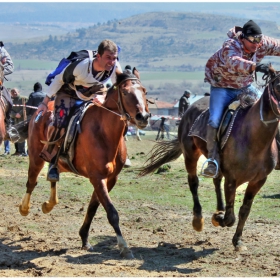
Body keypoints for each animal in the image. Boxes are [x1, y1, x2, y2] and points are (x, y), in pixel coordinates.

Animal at [19, 70, 151, 258]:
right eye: (125, 92)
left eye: (144, 91)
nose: (143, 117)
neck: (104, 131)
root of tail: (38, 113)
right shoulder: (97, 177)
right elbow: (111, 212)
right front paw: (124, 246)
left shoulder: (109, 179)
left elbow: (93, 207)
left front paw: (84, 238)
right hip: (36, 158)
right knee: (31, 182)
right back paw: (24, 208)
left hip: (57, 163)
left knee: (52, 176)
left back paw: (50, 203)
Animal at [139, 68, 280, 252]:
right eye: (278, 86)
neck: (254, 138)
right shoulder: (232, 179)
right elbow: (230, 217)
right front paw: (218, 219)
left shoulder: (258, 180)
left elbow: (244, 211)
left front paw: (237, 240)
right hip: (190, 154)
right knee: (193, 182)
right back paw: (198, 219)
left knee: (215, 180)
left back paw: (218, 209)